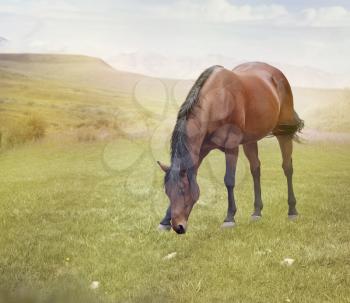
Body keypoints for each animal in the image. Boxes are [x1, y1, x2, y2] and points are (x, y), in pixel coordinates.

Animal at [157, 62, 304, 235]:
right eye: (167, 191)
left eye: (182, 190)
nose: (178, 227)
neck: (218, 100)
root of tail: (277, 74)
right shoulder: (200, 151)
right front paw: (164, 222)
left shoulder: (231, 147)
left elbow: (229, 180)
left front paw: (229, 218)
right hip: (250, 140)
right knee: (256, 169)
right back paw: (257, 212)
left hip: (283, 133)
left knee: (287, 168)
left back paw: (292, 211)